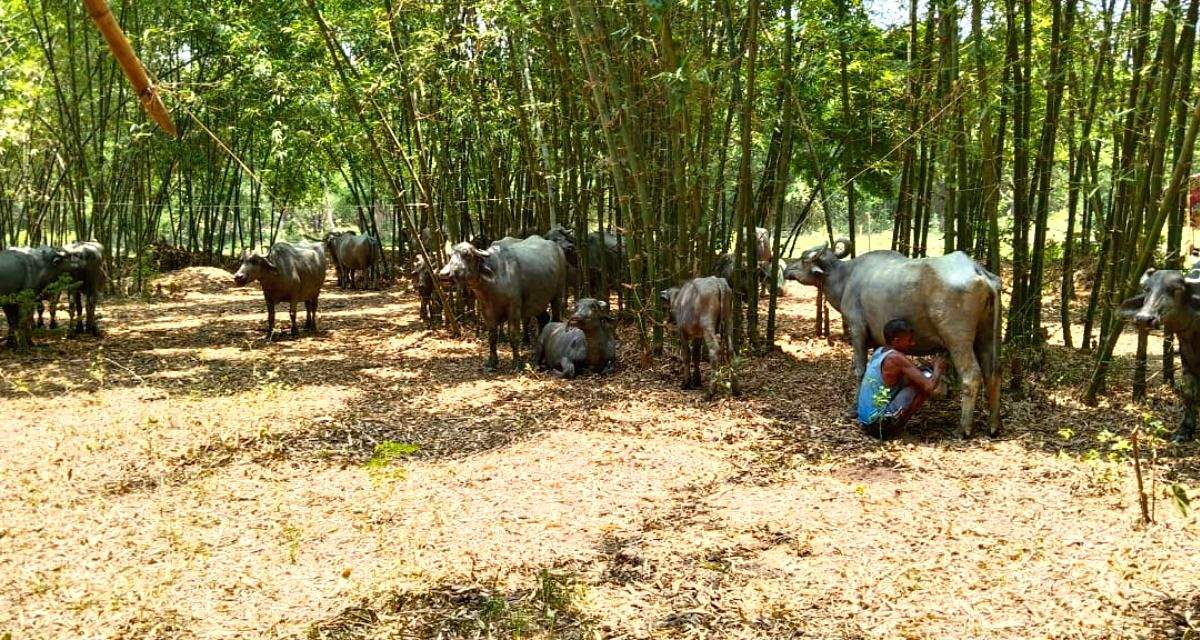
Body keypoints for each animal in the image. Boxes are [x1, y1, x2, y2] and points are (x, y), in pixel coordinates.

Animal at [438, 236, 567, 371]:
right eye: (450, 255)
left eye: (466, 254)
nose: (444, 275)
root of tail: (558, 249)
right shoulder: (486, 310)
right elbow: (492, 337)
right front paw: (491, 363)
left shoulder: (514, 309)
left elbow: (514, 335)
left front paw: (517, 363)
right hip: (537, 302)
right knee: (544, 319)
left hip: (557, 295)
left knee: (555, 318)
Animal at [785, 241, 1002, 437]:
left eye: (803, 258)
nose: (786, 268)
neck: (845, 279)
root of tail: (977, 270)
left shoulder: (857, 329)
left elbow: (860, 370)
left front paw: (853, 409)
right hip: (986, 335)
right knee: (992, 374)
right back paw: (993, 426)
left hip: (957, 339)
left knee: (971, 375)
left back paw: (963, 429)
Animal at [1120, 267, 1200, 442]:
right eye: (1146, 289)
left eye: (1176, 290)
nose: (1144, 319)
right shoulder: (1186, 355)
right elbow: (1189, 393)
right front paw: (1184, 430)